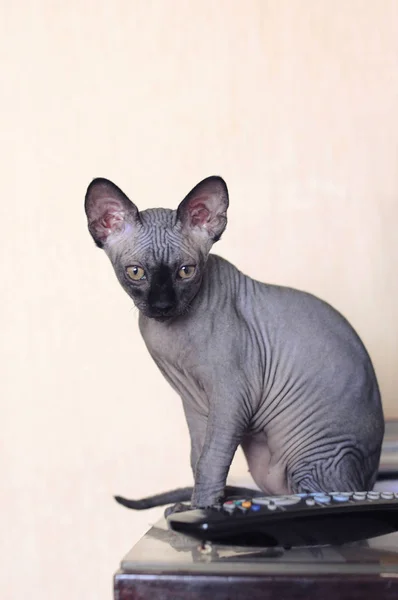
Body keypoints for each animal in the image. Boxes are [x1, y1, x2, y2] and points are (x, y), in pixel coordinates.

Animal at [84, 173, 386, 510]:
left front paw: (203, 507)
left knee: (317, 491)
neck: (170, 338)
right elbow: (196, 458)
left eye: (185, 271)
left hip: (312, 453)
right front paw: (193, 506)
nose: (162, 305)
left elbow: (210, 461)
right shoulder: (195, 403)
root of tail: (367, 482)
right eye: (136, 272)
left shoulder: (232, 399)